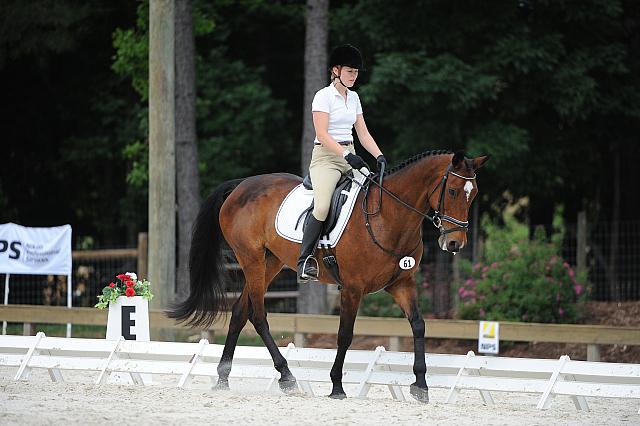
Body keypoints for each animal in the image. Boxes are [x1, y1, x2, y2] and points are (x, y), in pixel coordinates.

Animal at [168, 150, 488, 402]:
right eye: (452, 191)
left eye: (473, 195)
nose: (454, 243)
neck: (389, 217)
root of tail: (241, 185)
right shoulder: (352, 288)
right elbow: (345, 334)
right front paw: (337, 386)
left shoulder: (402, 284)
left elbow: (419, 326)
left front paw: (420, 384)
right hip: (251, 260)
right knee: (257, 316)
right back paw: (287, 377)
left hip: (270, 262)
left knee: (238, 312)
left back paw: (223, 378)